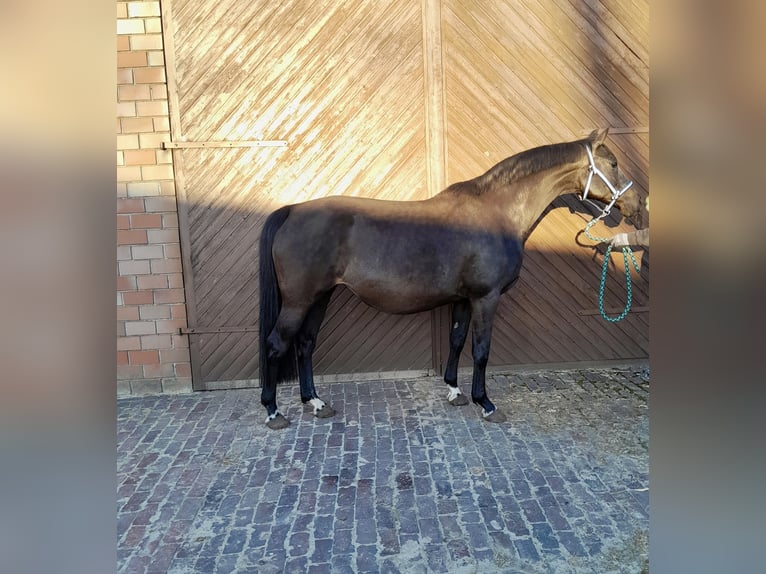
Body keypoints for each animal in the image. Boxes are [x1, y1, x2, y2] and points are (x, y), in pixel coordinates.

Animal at [258, 128, 645, 429]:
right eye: (612, 163)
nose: (638, 204)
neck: (497, 213)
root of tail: (293, 211)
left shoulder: (463, 299)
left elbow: (456, 341)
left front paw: (455, 392)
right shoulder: (486, 297)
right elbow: (481, 350)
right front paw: (485, 403)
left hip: (320, 297)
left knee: (306, 344)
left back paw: (316, 403)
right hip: (298, 301)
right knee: (277, 344)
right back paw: (274, 412)